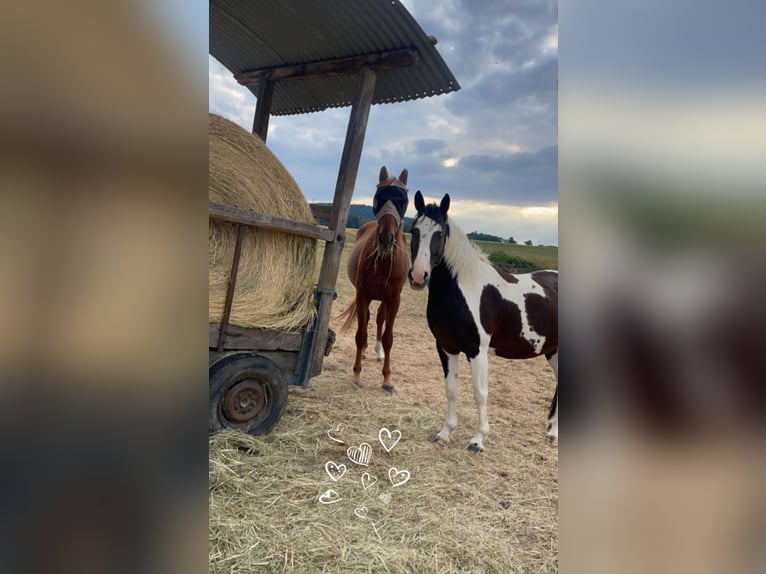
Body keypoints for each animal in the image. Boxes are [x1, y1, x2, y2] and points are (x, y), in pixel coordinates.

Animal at [340, 164, 414, 394]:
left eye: (402, 201)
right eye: (378, 197)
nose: (386, 239)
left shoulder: (394, 299)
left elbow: (389, 338)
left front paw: (387, 379)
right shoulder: (363, 295)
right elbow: (360, 333)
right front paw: (356, 374)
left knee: (380, 319)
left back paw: (378, 351)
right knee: (368, 320)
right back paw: (364, 351)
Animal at [408, 191, 560, 452]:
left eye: (441, 233)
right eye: (413, 230)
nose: (419, 276)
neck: (463, 289)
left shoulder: (476, 350)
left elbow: (480, 393)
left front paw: (478, 440)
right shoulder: (446, 347)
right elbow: (451, 390)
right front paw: (446, 432)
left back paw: (554, 433)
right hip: (553, 350)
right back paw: (551, 432)